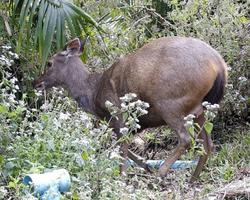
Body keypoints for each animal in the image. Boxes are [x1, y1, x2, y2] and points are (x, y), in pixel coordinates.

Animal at [33, 36, 229, 182]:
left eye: (49, 63)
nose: (36, 82)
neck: (94, 92)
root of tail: (219, 66)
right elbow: (126, 149)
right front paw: (146, 166)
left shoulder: (118, 115)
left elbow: (122, 149)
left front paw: (123, 177)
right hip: (201, 110)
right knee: (208, 144)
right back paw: (191, 180)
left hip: (171, 103)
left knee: (186, 139)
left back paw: (162, 173)